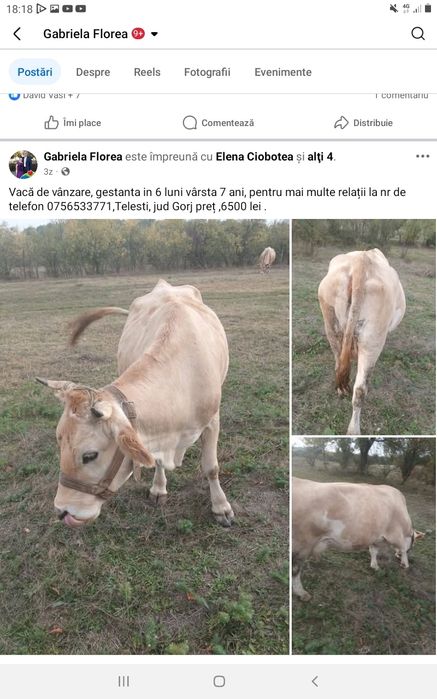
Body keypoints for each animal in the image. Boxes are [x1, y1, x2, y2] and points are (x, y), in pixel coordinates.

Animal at [37, 279, 234, 529]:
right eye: (59, 443)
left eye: (89, 455)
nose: (62, 511)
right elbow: (156, 460)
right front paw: (158, 488)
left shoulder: (212, 421)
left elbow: (211, 467)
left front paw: (221, 507)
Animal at [292, 477, 424, 601]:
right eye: (413, 544)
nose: (398, 556)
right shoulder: (396, 534)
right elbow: (403, 548)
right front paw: (405, 564)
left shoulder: (375, 537)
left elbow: (374, 551)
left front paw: (374, 566)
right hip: (303, 543)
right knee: (295, 568)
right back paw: (302, 593)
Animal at [318, 248, 406, 435]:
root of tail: (362, 259)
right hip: (373, 339)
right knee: (360, 391)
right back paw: (354, 431)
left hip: (330, 323)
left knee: (339, 363)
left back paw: (341, 389)